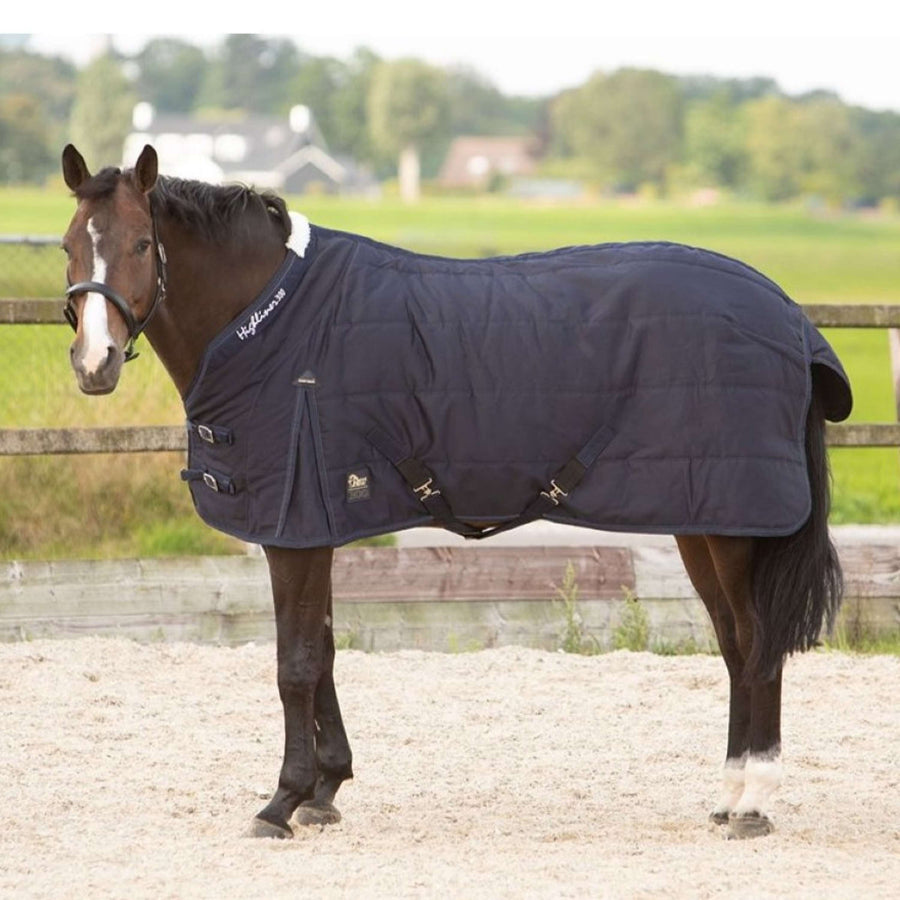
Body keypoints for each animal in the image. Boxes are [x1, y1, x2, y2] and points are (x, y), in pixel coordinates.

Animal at [60, 143, 852, 841]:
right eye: (69, 246)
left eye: (140, 245)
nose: (95, 364)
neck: (277, 321)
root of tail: (789, 317)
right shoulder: (315, 523)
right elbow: (326, 651)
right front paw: (326, 789)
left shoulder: (295, 529)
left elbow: (296, 664)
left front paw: (282, 801)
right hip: (702, 520)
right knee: (737, 647)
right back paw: (728, 798)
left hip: (735, 527)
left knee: (757, 648)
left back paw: (753, 804)